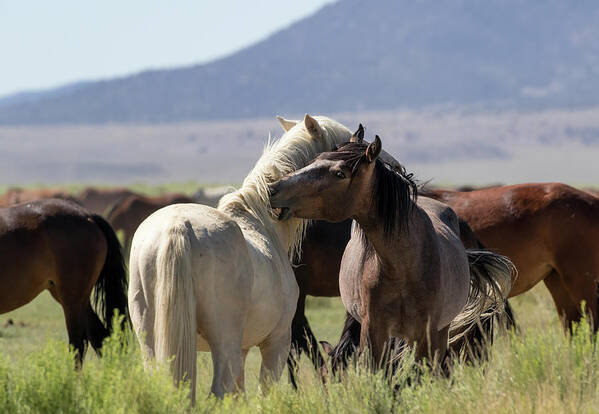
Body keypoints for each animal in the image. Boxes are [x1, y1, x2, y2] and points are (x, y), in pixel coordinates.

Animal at [126, 114, 352, 402]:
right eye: (341, 149)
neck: (262, 222)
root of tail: (178, 226)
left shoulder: (244, 350)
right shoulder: (276, 343)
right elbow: (264, 394)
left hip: (152, 345)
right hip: (225, 345)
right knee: (218, 391)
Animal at [272, 137, 510, 368]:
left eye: (340, 173)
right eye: (316, 158)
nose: (274, 187)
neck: (403, 266)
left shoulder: (427, 336)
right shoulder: (374, 333)